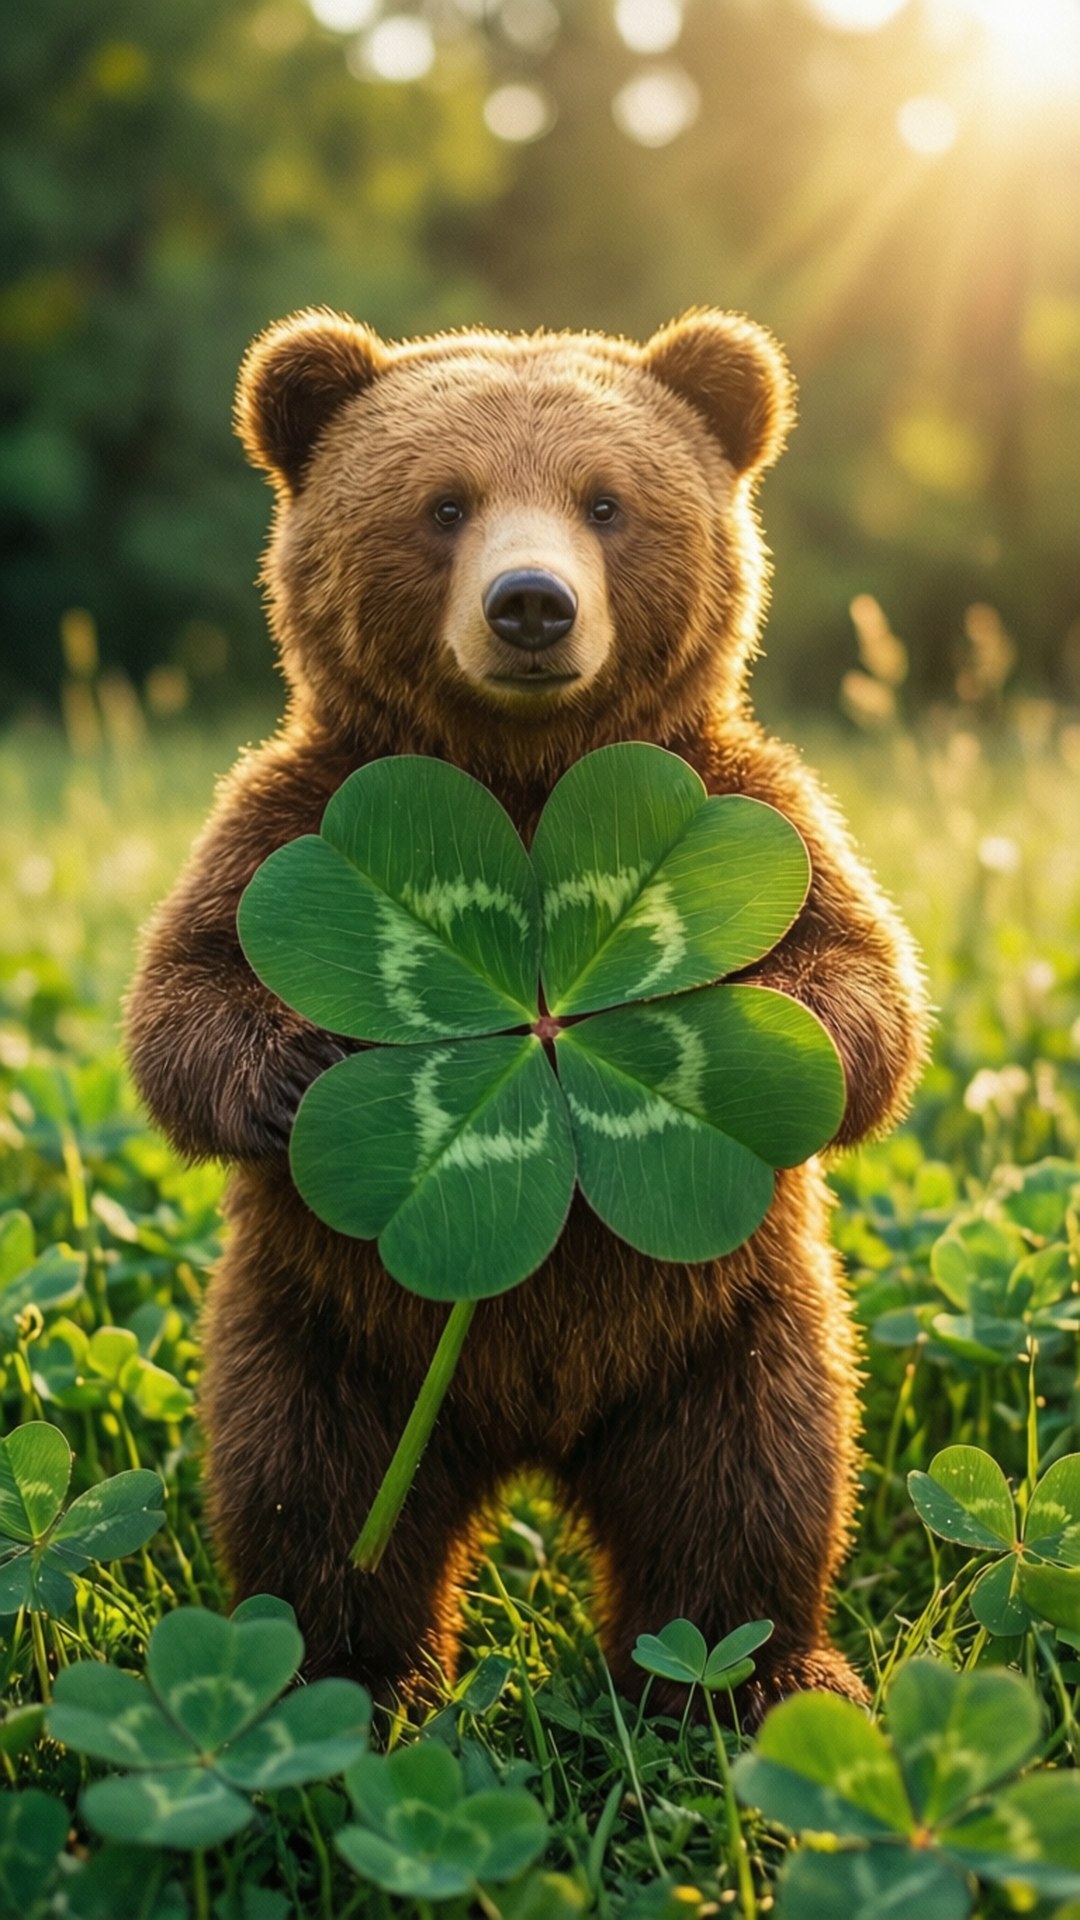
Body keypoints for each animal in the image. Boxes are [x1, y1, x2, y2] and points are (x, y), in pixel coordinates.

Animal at [125, 307, 929, 1720]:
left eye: (605, 502)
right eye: (445, 504)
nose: (532, 604)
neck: (522, 770)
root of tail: (537, 1438)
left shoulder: (754, 805)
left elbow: (863, 980)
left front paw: (768, 1041)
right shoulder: (286, 819)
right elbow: (185, 995)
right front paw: (299, 1070)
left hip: (725, 1327)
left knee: (754, 1485)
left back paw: (758, 1675)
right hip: (335, 1332)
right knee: (311, 1495)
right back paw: (350, 1674)